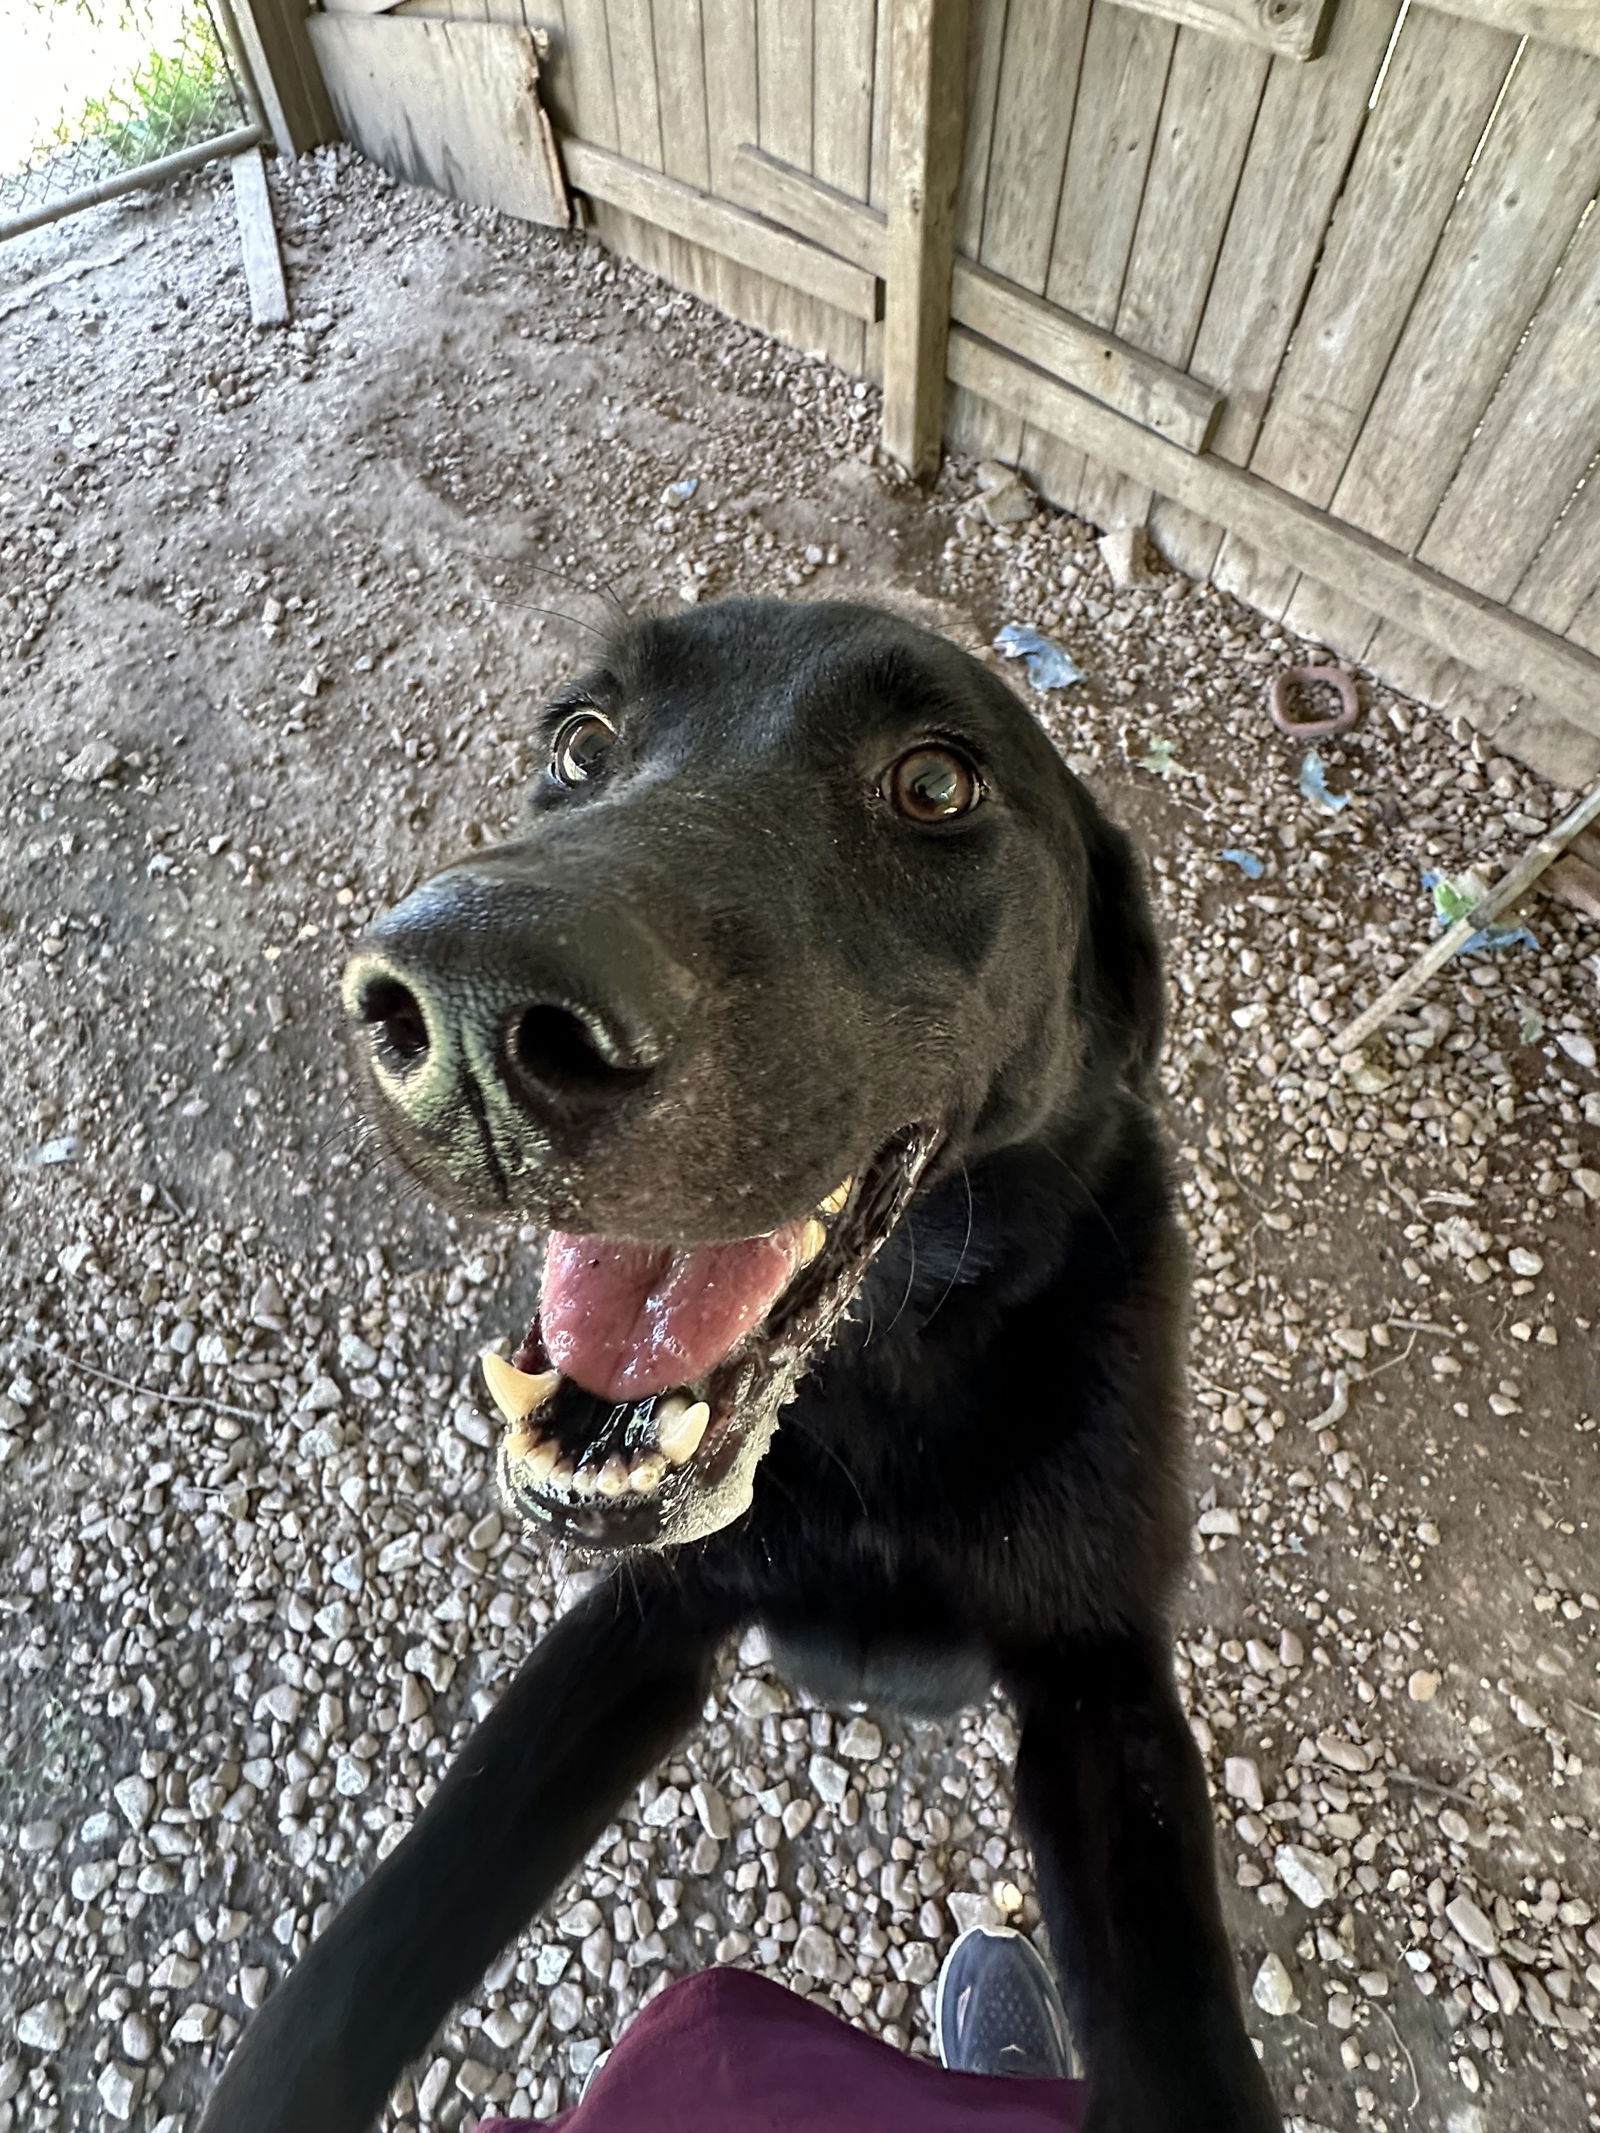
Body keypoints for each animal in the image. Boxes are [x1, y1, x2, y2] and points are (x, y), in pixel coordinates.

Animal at [197, 601, 1280, 2133]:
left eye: (936, 782)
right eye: (581, 743)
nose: (465, 1009)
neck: (884, 1382)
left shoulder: (1100, 1685)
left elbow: (1180, 2002)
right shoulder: (642, 1623)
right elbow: (375, 1938)